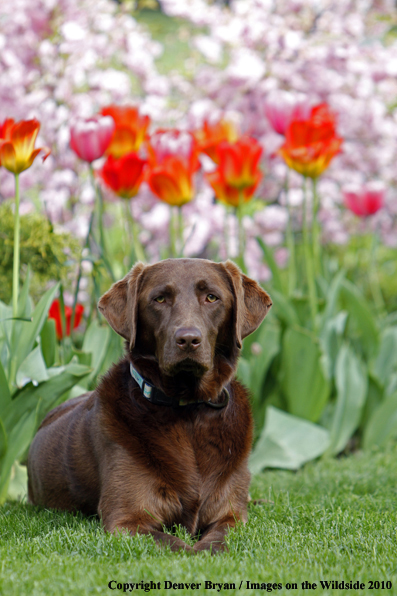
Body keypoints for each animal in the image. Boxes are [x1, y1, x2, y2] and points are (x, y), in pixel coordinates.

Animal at [27, 258, 270, 552]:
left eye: (212, 297)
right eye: (160, 299)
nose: (188, 339)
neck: (188, 408)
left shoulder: (231, 515)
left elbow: (218, 539)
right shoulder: (127, 520)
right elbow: (178, 546)